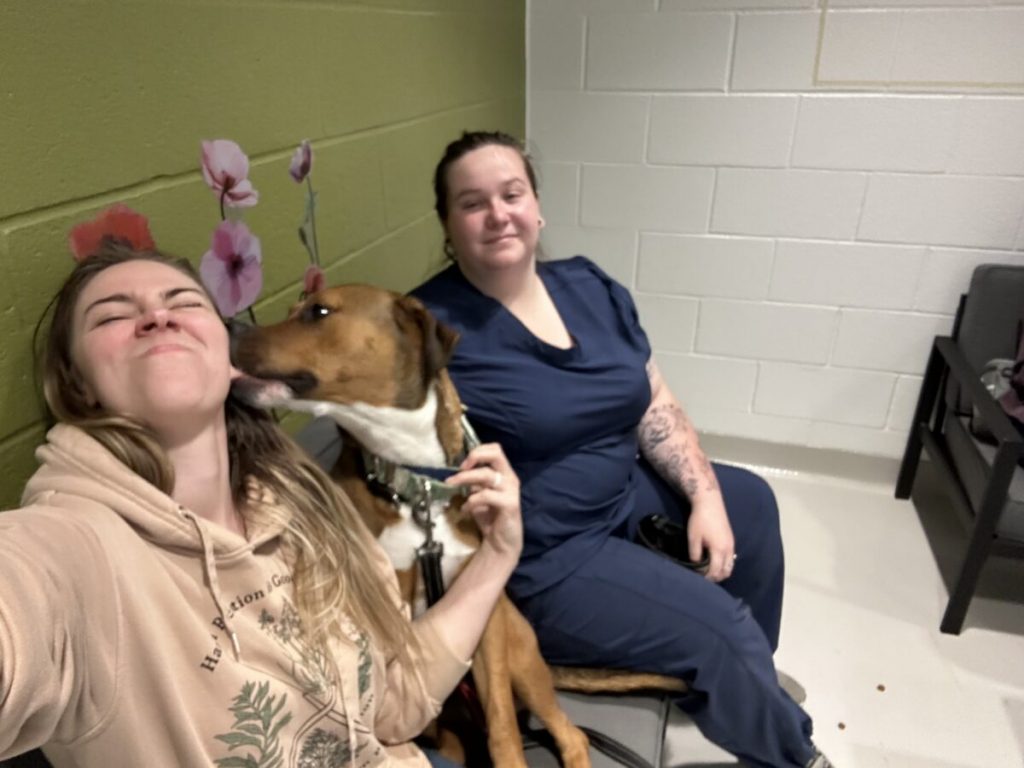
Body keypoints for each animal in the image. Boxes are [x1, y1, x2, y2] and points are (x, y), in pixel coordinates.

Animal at [229, 284, 684, 768]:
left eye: (318, 311)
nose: (230, 326)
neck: (416, 486)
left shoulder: (484, 617)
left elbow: (502, 729)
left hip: (521, 657)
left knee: (570, 733)